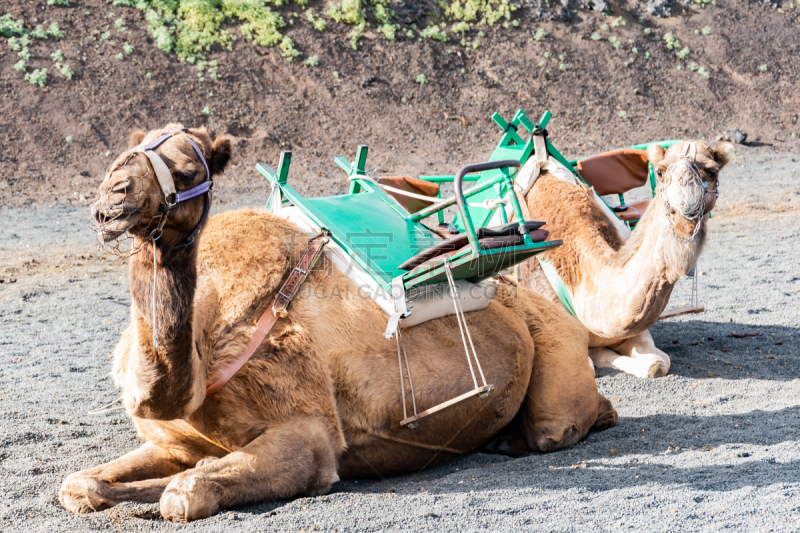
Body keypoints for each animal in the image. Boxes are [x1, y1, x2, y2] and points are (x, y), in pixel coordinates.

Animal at [59, 127, 616, 520]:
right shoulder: (171, 442)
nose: (113, 198)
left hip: (555, 350)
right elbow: (79, 486)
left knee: (558, 426)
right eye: (126, 152)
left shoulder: (310, 436)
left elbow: (185, 493)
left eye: (188, 164)